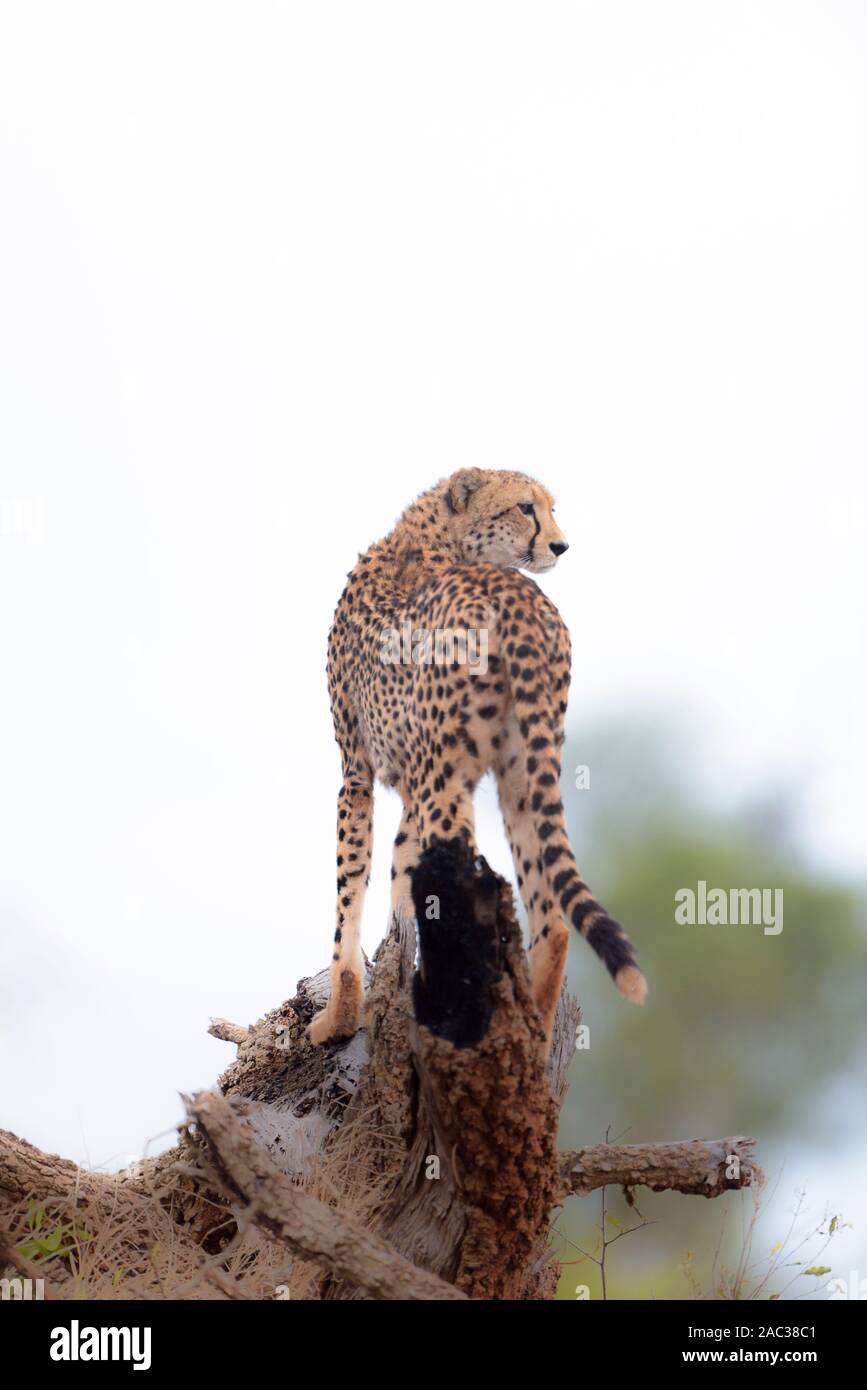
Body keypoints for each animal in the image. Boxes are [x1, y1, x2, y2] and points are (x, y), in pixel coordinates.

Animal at [309, 469, 644, 1050]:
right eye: (526, 508)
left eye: (547, 508)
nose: (561, 545)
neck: (437, 538)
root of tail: (515, 591)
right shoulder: (416, 777)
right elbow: (402, 876)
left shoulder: (359, 771)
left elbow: (349, 891)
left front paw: (340, 1015)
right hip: (523, 773)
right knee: (553, 920)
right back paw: (531, 1037)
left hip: (450, 784)